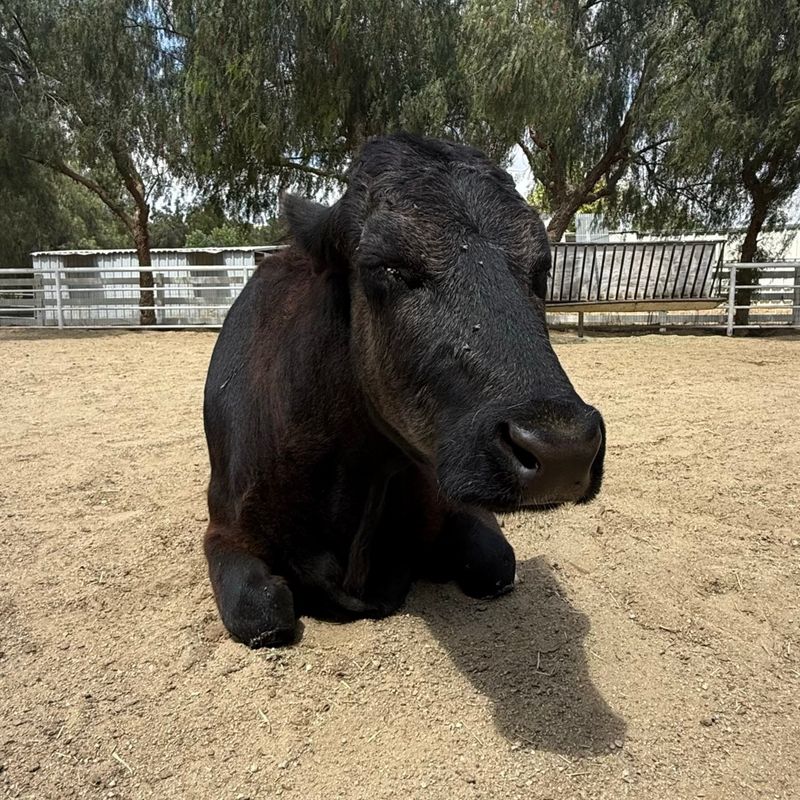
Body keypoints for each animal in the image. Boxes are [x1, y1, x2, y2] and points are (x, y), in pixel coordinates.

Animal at [202, 133, 605, 648]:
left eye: (542, 268)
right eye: (386, 266)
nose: (564, 449)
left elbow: (496, 563)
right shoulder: (225, 528)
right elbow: (262, 609)